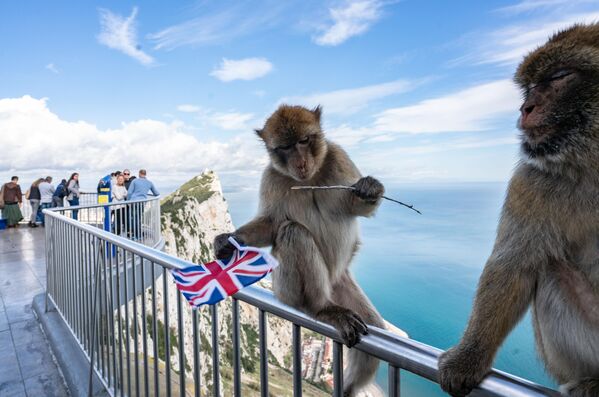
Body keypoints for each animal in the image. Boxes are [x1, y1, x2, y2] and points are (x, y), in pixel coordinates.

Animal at [214, 103, 384, 394]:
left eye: (304, 141)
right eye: (285, 147)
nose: (301, 162)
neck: (310, 177)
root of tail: (330, 283)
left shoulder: (338, 157)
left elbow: (356, 207)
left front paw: (370, 188)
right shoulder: (271, 177)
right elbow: (273, 225)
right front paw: (228, 240)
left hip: (341, 284)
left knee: (372, 324)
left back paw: (349, 388)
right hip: (286, 287)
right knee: (293, 233)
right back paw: (321, 308)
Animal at [438, 24, 599, 396]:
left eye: (559, 76)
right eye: (529, 87)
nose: (526, 107)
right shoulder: (530, 181)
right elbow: (513, 265)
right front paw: (467, 358)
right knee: (551, 268)